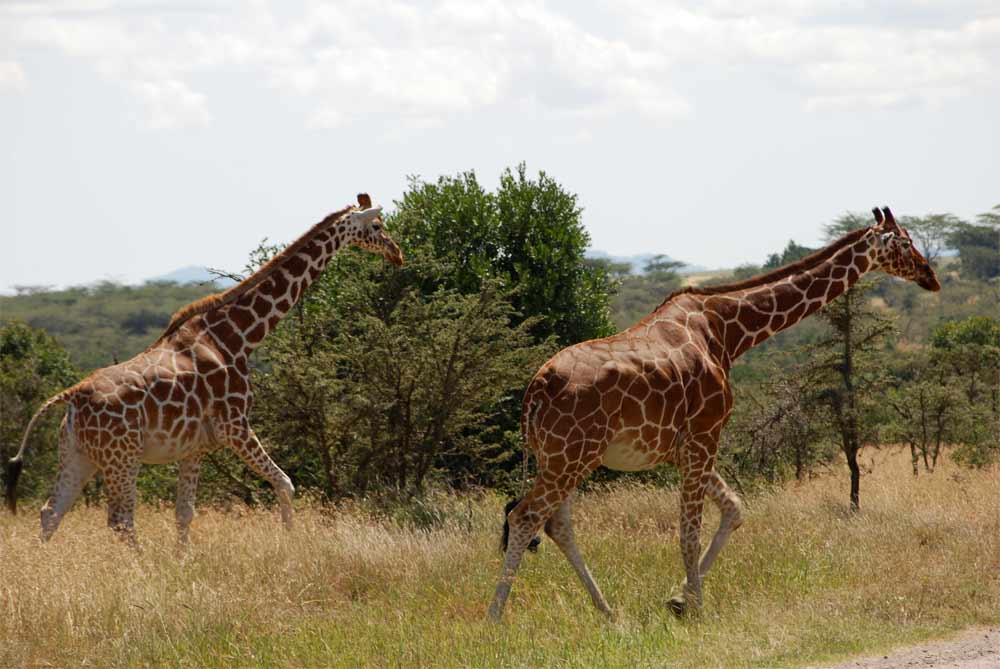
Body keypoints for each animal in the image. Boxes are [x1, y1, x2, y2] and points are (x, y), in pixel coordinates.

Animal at [4, 190, 402, 544]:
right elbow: (285, 482)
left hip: (78, 455)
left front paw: (184, 562)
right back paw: (144, 570)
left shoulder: (194, 446)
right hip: (123, 457)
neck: (237, 336)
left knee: (51, 512)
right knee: (121, 520)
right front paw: (294, 543)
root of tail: (73, 396)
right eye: (378, 225)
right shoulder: (234, 425)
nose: (397, 253)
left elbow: (185, 513)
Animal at [488, 206, 940, 620]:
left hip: (562, 458)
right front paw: (697, 609)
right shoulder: (706, 434)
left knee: (556, 524)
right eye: (904, 242)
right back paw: (495, 618)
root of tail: (536, 389)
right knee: (526, 516)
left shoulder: (684, 446)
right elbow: (689, 531)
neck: (728, 331)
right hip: (571, 457)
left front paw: (678, 599)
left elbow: (734, 509)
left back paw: (608, 612)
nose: (930, 276)